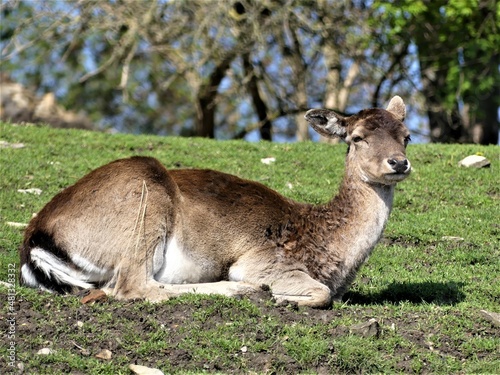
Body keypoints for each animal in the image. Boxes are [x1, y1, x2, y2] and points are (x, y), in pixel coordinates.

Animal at [18, 95, 410, 306]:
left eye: (406, 136)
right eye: (357, 137)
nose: (398, 162)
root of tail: (35, 239)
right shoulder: (264, 261)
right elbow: (321, 293)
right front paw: (283, 297)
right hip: (144, 204)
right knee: (131, 285)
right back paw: (244, 290)